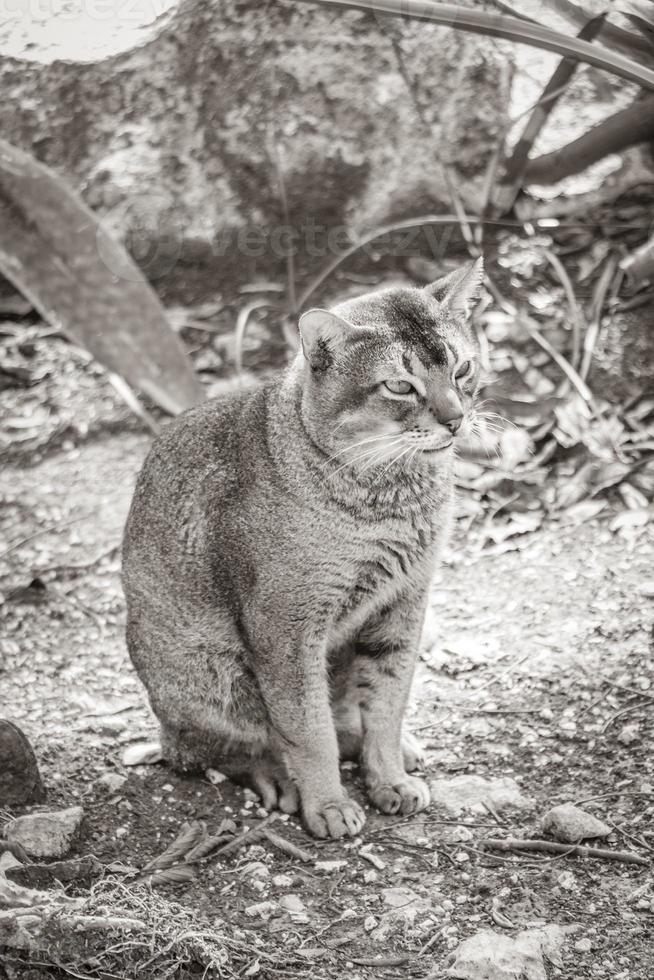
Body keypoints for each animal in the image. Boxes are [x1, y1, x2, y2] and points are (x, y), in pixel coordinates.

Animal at [121, 256, 486, 840]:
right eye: (399, 386)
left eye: (463, 369)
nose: (455, 418)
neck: (392, 500)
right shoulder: (287, 629)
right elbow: (308, 730)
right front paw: (328, 803)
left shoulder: (403, 603)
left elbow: (388, 704)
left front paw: (388, 777)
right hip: (211, 672)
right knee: (211, 750)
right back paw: (277, 778)